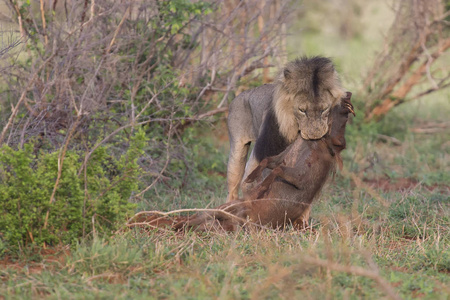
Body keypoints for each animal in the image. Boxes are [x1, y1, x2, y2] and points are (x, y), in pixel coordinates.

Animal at [227, 56, 346, 202]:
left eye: (324, 109)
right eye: (302, 110)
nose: (315, 135)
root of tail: (238, 96)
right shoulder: (264, 151)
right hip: (237, 150)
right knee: (233, 187)